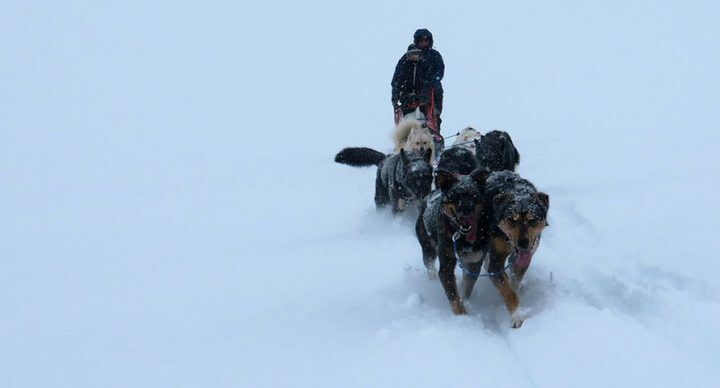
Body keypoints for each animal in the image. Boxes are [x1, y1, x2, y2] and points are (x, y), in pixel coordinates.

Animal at [480, 170, 548, 328]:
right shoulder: (496, 262)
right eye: (512, 220)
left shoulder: (526, 257)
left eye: (532, 220)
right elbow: (508, 291)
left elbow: (515, 281)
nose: (523, 243)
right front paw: (516, 315)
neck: (519, 193)